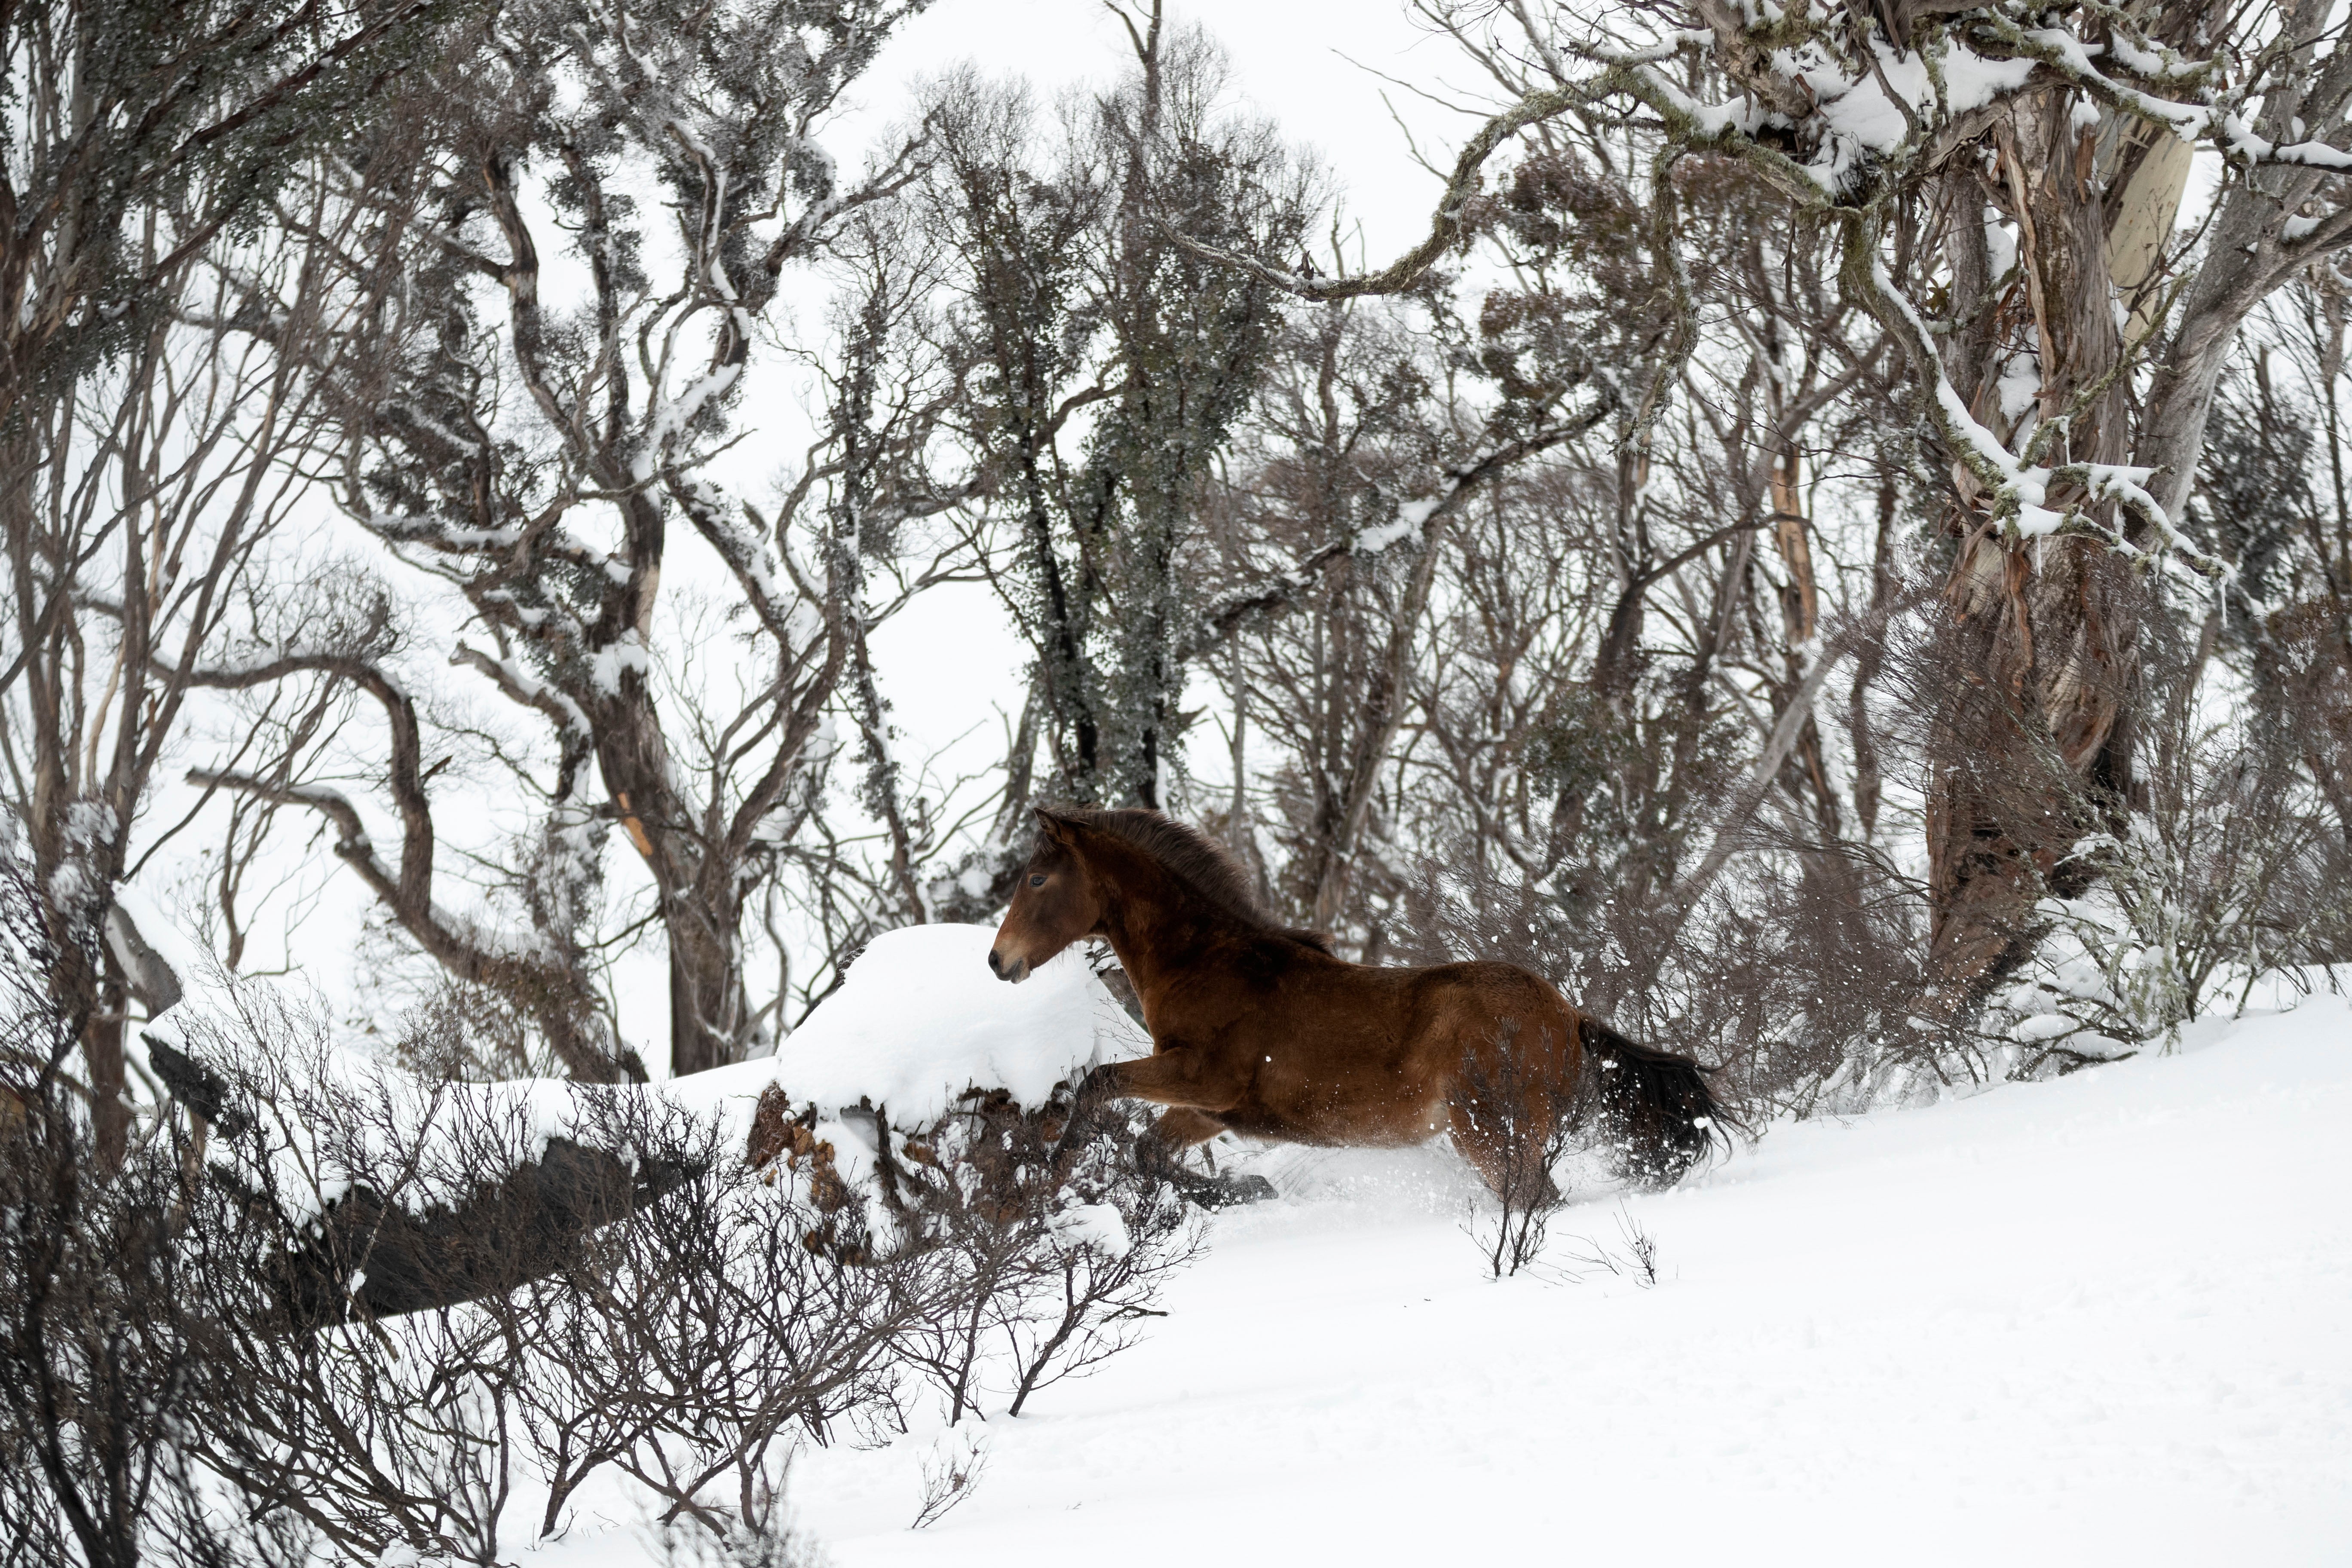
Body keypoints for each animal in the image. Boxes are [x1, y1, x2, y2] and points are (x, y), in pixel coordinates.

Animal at [983, 808, 1721, 1204]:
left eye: (1038, 879)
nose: (999, 961)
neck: (1206, 963)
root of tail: (1570, 1018)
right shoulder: (1208, 1109)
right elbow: (1148, 1151)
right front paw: (1250, 1191)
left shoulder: (1200, 1077)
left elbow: (1097, 1084)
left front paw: (1051, 1174)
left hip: (1492, 1135)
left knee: (1536, 1201)